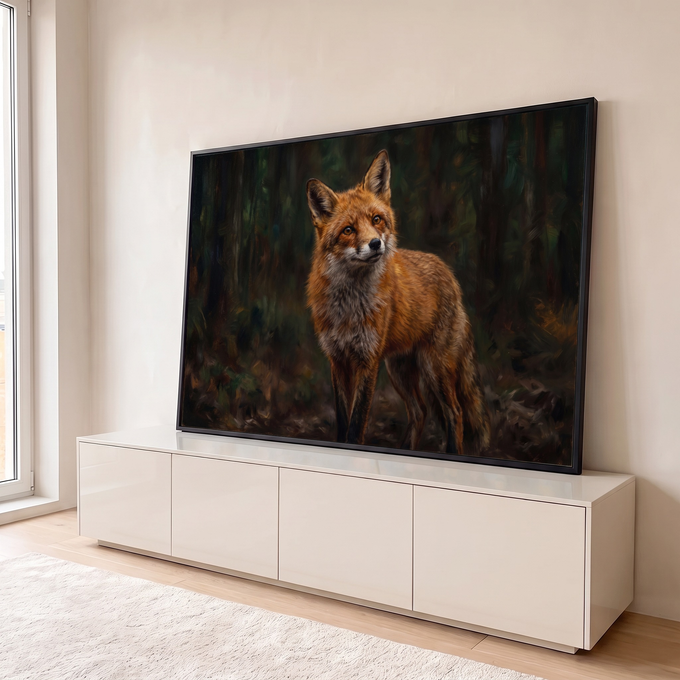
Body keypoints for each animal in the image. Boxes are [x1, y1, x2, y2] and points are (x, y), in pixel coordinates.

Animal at [306, 150, 490, 455]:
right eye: (348, 230)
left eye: (377, 219)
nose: (375, 244)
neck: (349, 307)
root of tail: (448, 273)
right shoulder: (338, 360)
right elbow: (343, 422)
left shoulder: (367, 360)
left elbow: (356, 425)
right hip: (399, 370)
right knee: (420, 412)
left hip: (435, 368)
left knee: (455, 413)